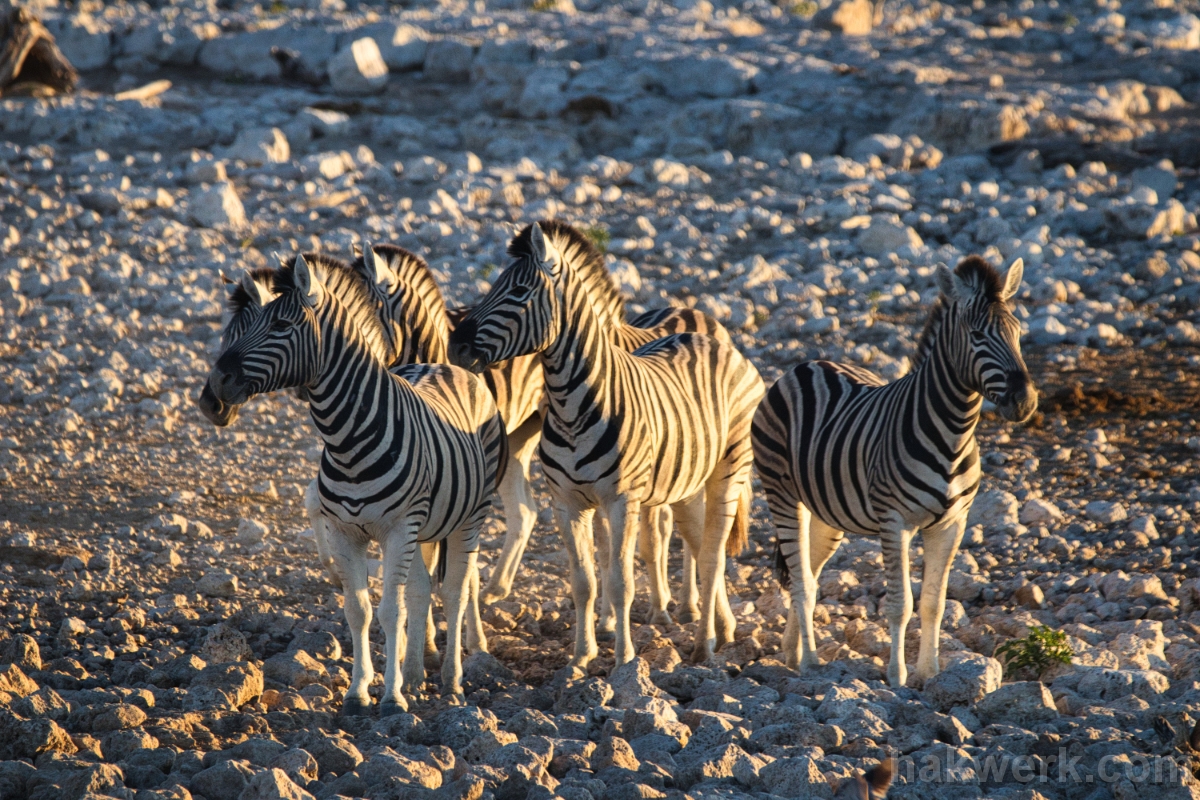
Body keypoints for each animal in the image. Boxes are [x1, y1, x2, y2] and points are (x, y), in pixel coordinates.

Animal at [198, 256, 506, 714]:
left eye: (282, 325)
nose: (217, 385)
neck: (348, 439)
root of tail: (446, 365)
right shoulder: (345, 531)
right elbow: (358, 610)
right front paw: (359, 692)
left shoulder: (398, 529)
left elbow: (391, 611)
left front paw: (392, 698)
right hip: (426, 526)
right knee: (421, 590)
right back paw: (416, 675)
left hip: (470, 517)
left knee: (453, 592)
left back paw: (451, 681)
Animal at [446, 220, 763, 662]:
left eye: (519, 292)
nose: (455, 346)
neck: (572, 405)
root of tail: (710, 339)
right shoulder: (567, 503)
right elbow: (584, 581)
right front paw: (582, 655)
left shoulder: (621, 500)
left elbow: (619, 582)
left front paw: (624, 657)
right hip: (685, 482)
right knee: (699, 545)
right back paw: (721, 625)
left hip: (729, 470)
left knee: (713, 556)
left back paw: (705, 644)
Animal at [753, 256, 1036, 690]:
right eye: (976, 335)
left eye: (1018, 332)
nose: (1025, 401)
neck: (953, 432)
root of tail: (806, 365)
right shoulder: (895, 521)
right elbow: (901, 602)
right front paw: (897, 675)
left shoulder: (952, 523)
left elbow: (934, 602)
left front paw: (929, 673)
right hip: (781, 494)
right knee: (801, 582)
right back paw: (811, 663)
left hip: (825, 514)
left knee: (810, 574)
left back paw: (792, 651)